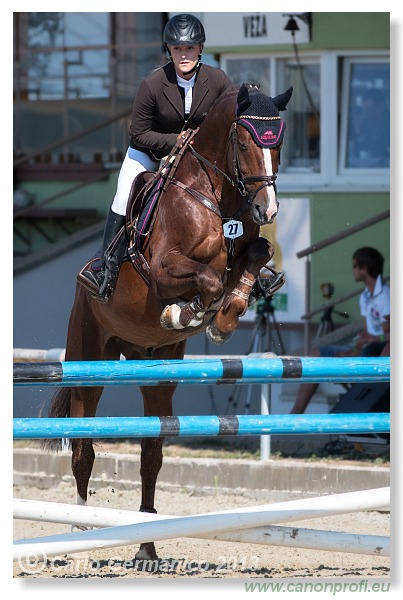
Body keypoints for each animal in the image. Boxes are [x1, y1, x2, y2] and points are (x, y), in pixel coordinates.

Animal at [45, 82, 294, 560]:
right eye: (244, 142)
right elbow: (208, 279)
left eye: (279, 142)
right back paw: (79, 530)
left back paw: (146, 548)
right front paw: (189, 312)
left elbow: (255, 256)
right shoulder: (162, 269)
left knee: (151, 454)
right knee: (83, 448)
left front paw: (225, 316)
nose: (267, 211)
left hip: (157, 374)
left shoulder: (249, 248)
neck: (217, 197)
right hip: (90, 358)